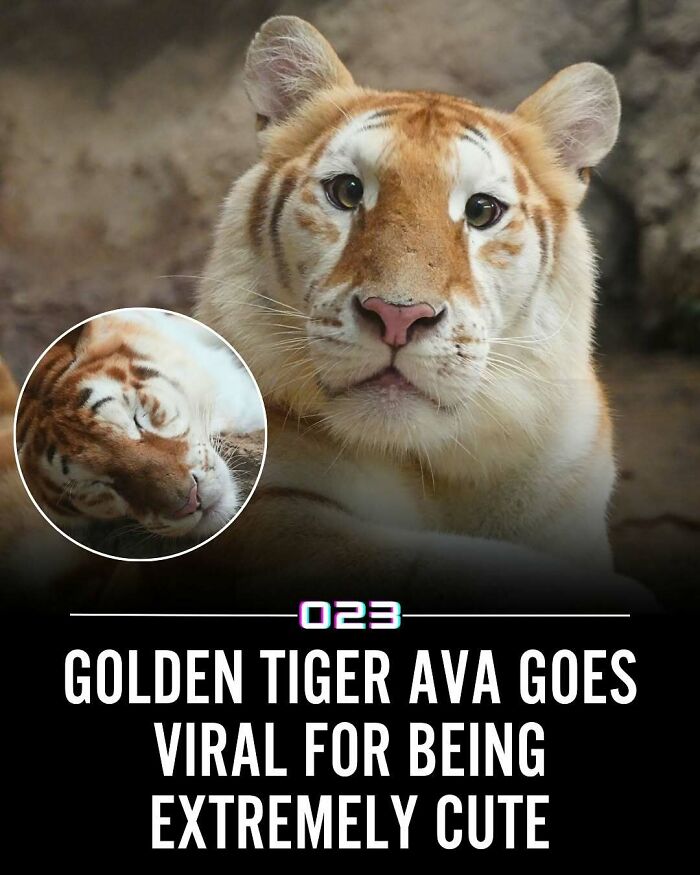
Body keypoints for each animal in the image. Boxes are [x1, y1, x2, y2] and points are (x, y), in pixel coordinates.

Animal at [194, 15, 655, 609]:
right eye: (347, 192)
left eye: (481, 211)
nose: (397, 316)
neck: (432, 466)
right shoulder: (275, 516)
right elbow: (431, 563)